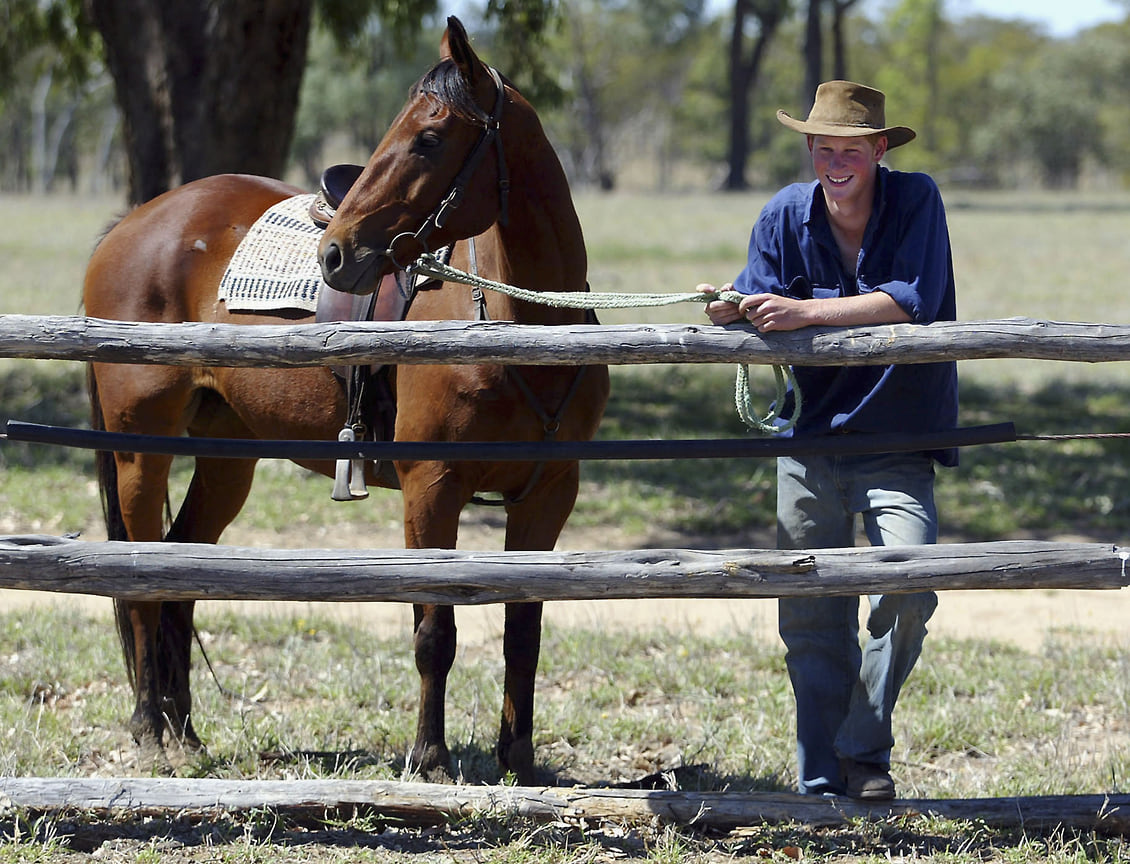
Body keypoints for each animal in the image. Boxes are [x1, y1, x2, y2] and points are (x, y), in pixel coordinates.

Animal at [81, 15, 610, 781]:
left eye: (428, 138)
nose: (335, 252)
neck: (522, 327)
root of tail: (130, 224)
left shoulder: (546, 498)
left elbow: (524, 631)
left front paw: (518, 760)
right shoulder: (431, 489)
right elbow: (435, 631)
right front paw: (429, 757)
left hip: (227, 457)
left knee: (181, 568)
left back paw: (183, 730)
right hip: (138, 452)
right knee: (143, 579)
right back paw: (151, 727)